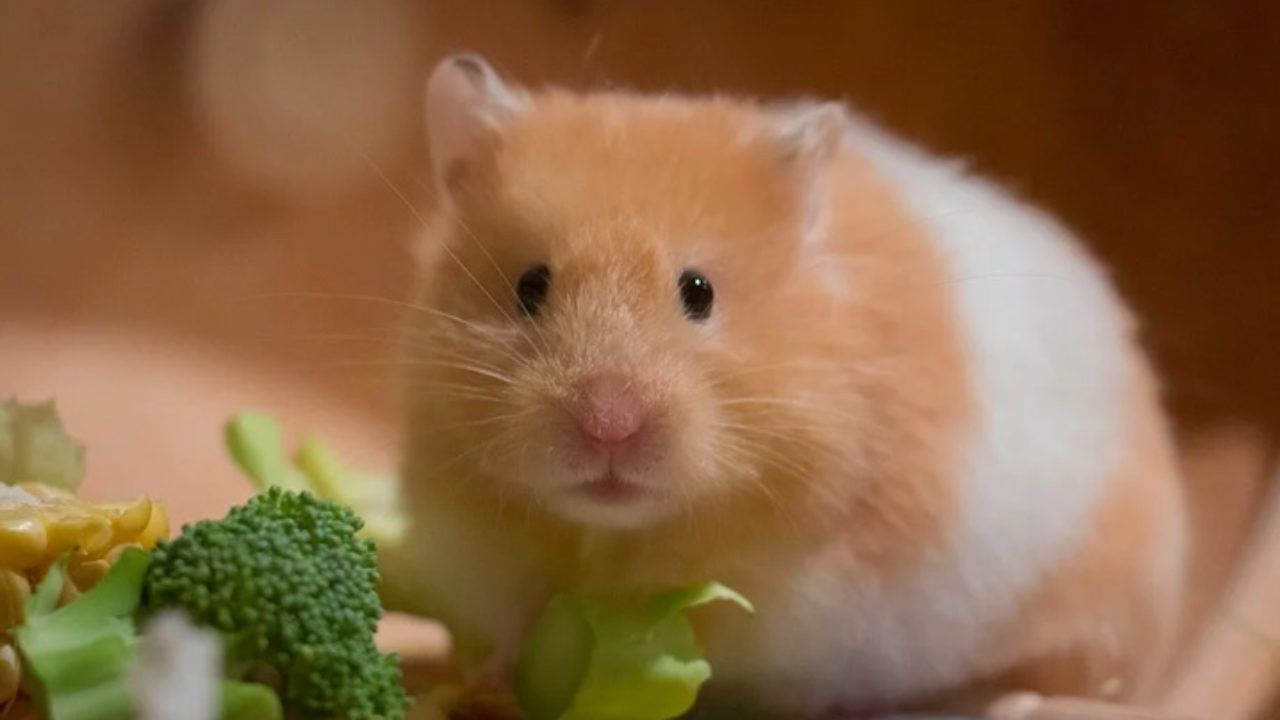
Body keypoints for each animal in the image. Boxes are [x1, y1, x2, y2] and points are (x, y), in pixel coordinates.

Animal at [388, 53, 1187, 718]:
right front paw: (496, 680)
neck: (617, 535)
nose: (609, 427)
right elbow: (514, 627)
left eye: (699, 292)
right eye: (530, 286)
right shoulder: (483, 548)